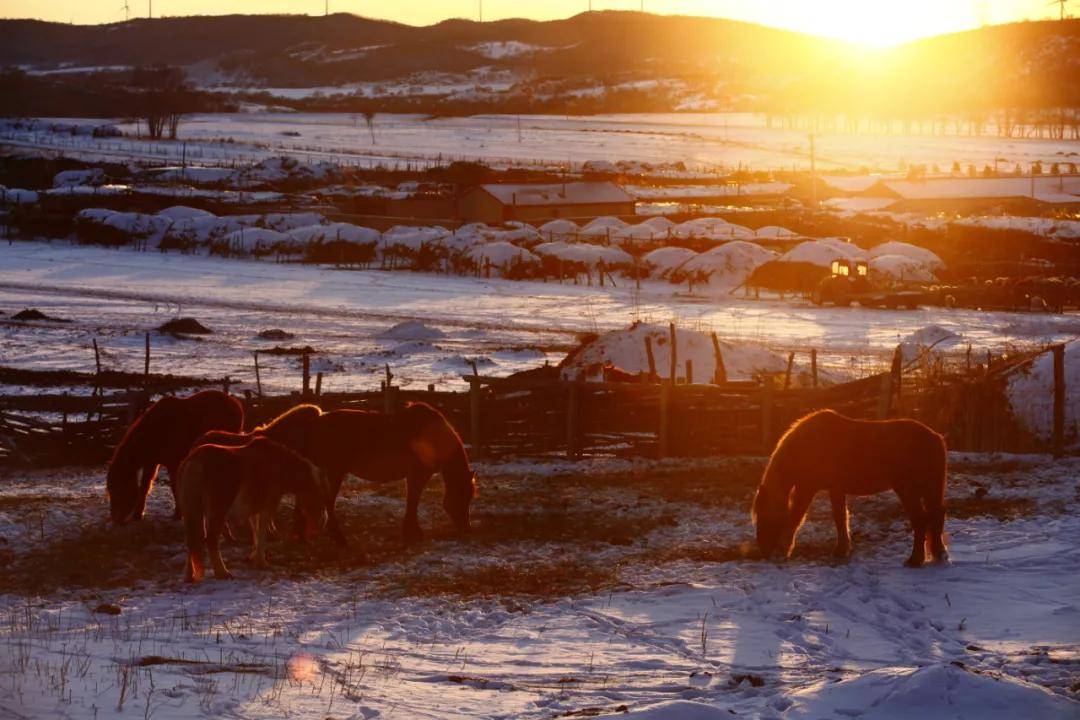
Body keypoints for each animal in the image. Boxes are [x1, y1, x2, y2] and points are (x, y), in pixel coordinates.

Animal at [104, 388, 241, 524]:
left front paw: (178, 514)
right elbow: (144, 486)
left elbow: (174, 487)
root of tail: (235, 403)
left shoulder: (173, 463)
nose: (116, 520)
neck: (156, 430)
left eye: (119, 489)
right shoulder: (151, 462)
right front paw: (138, 515)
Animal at [180, 436, 328, 582]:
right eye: (320, 494)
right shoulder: (267, 506)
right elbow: (262, 533)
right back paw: (222, 573)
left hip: (193, 512)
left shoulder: (254, 509)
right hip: (218, 512)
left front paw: (253, 557)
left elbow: (256, 533)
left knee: (193, 541)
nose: (323, 521)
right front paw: (261, 562)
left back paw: (189, 576)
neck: (279, 465)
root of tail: (195, 461)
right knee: (210, 539)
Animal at [302, 405, 475, 546]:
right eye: (463, 495)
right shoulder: (418, 475)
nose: (467, 529)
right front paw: (413, 533)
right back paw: (338, 538)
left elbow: (412, 500)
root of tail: (316, 422)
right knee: (328, 501)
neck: (433, 437)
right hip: (335, 472)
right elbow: (413, 500)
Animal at [751, 410, 946, 569]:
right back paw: (939, 554)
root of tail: (935, 437)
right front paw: (842, 549)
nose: (763, 551)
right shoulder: (835, 489)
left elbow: (796, 516)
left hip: (908, 490)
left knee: (920, 520)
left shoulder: (808, 488)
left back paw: (915, 560)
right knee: (936, 516)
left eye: (764, 515)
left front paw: (784, 549)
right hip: (930, 490)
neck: (810, 445)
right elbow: (840, 518)